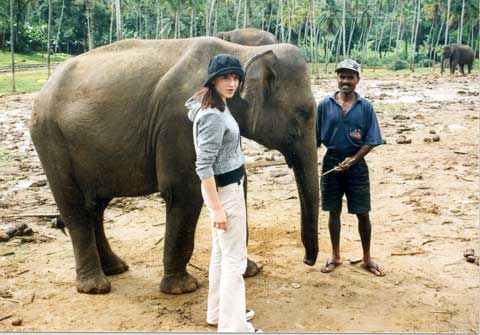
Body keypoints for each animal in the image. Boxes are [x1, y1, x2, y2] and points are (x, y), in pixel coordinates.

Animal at [30, 35, 318, 296]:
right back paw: (95, 287)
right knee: (74, 205)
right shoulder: (182, 122)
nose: (307, 261)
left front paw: (248, 271)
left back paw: (116, 267)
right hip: (50, 138)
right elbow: (185, 190)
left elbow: (237, 182)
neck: (242, 51)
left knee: (96, 205)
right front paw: (182, 288)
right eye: (302, 114)